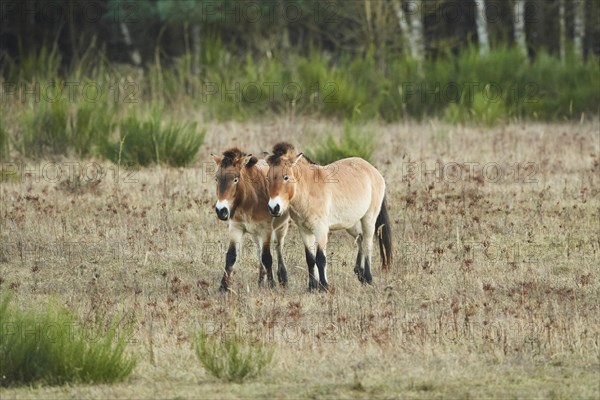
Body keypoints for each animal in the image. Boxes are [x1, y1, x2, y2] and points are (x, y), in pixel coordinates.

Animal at [211, 148, 290, 292]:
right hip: (254, 234)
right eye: (216, 178)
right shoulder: (235, 228)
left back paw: (283, 280)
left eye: (235, 179)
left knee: (278, 248)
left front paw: (272, 285)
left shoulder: (266, 230)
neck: (250, 201)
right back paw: (260, 281)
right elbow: (231, 256)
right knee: (259, 252)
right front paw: (223, 288)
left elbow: (267, 257)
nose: (221, 211)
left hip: (281, 228)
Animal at [266, 143, 390, 290]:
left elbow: (320, 258)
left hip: (369, 219)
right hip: (351, 224)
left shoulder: (321, 229)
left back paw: (368, 278)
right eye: (267, 178)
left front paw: (324, 286)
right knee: (360, 238)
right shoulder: (305, 231)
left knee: (367, 244)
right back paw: (360, 274)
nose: (274, 207)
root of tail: (373, 170)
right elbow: (310, 259)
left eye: (286, 177)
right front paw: (312, 287)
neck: (309, 190)